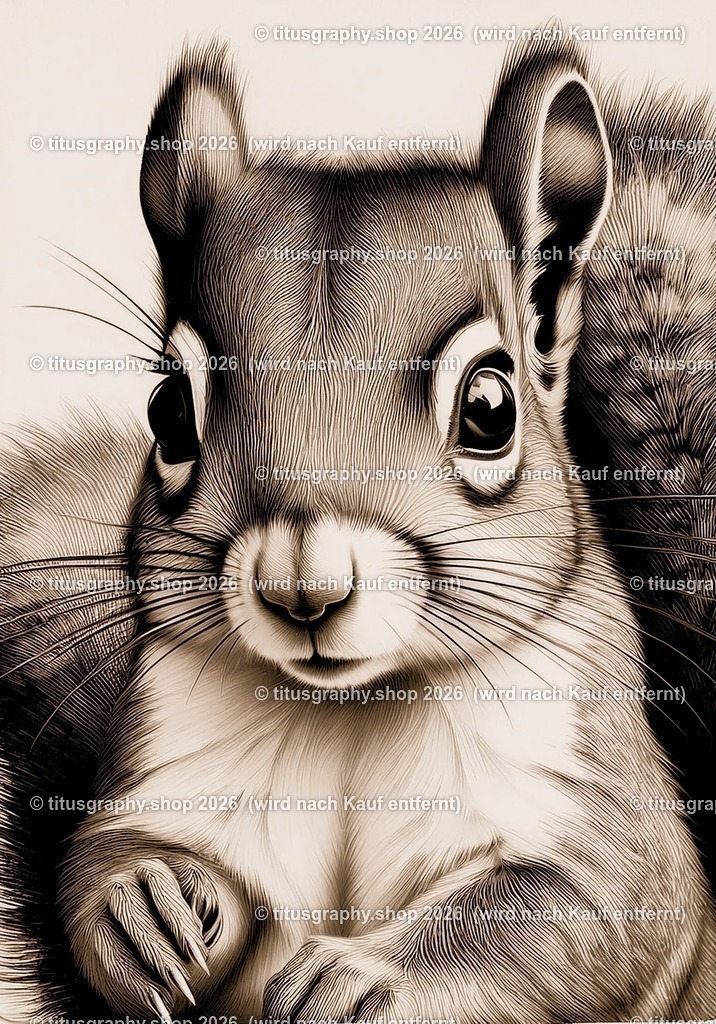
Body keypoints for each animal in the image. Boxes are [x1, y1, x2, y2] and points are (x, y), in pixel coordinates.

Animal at [1, 36, 715, 1024]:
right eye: (168, 409)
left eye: (490, 407)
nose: (302, 584)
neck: (351, 708)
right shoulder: (172, 755)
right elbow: (104, 857)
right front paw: (141, 906)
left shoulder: (600, 807)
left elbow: (571, 909)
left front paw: (363, 976)